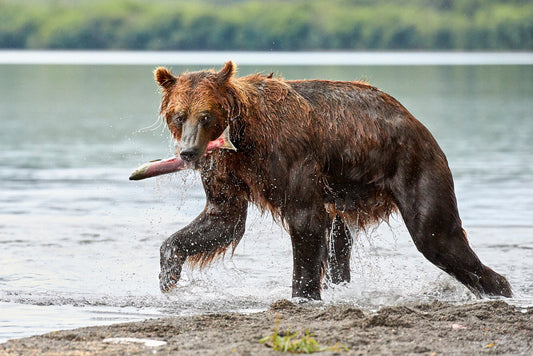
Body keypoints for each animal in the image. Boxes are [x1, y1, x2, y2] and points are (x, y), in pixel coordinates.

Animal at [153, 62, 512, 300]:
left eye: (206, 115)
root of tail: (415, 121)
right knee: (341, 244)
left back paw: (499, 287)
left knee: (437, 235)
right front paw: (167, 275)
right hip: (347, 192)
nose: (188, 152)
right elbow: (223, 218)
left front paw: (302, 294)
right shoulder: (227, 169)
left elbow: (305, 221)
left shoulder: (290, 155)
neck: (244, 139)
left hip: (413, 167)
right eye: (179, 115)